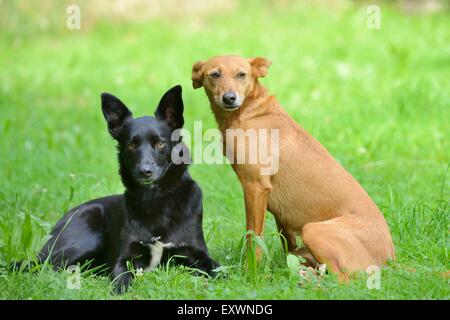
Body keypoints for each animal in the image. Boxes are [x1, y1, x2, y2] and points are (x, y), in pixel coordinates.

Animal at [32, 85, 217, 292]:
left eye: (160, 143)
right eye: (132, 145)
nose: (145, 171)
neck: (156, 200)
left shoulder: (197, 254)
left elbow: (218, 270)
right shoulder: (126, 258)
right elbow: (122, 276)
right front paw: (121, 289)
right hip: (87, 239)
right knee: (48, 268)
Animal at [192, 54, 396, 278]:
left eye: (241, 74)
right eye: (215, 74)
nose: (230, 98)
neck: (250, 112)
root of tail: (390, 259)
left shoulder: (255, 187)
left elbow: (253, 238)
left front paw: (250, 272)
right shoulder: (280, 214)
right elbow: (287, 245)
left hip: (313, 230)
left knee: (342, 279)